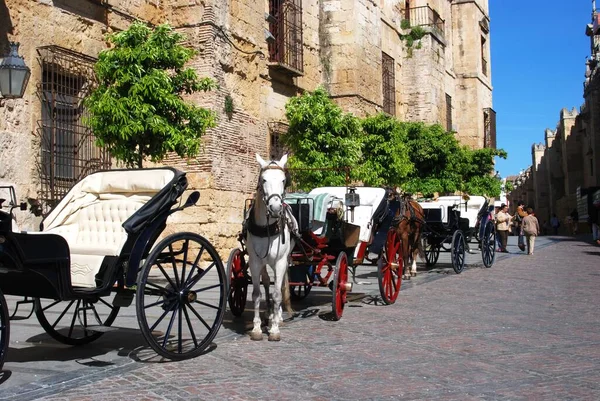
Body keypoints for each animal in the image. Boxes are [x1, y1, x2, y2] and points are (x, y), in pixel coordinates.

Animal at [246, 153, 298, 340]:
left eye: (283, 180)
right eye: (263, 179)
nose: (275, 208)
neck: (266, 227)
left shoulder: (281, 261)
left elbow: (277, 293)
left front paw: (274, 328)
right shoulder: (254, 262)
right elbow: (256, 294)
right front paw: (256, 328)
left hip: (284, 259)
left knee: (281, 284)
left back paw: (278, 316)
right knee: (268, 281)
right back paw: (269, 314)